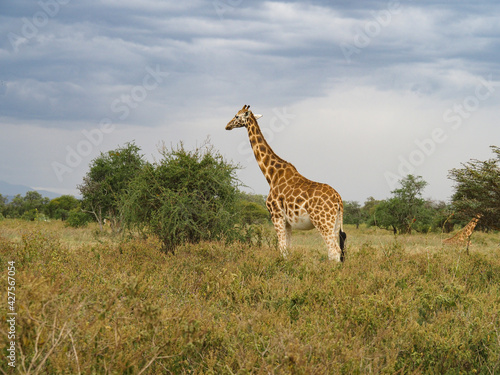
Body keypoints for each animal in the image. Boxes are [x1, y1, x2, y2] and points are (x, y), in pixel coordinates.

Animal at [225, 104, 346, 260]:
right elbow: (288, 249)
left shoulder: (276, 215)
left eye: (237, 116)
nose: (227, 126)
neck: (272, 175)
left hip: (323, 221)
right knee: (336, 251)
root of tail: (338, 199)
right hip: (335, 222)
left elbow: (282, 249)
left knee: (334, 251)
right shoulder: (287, 222)